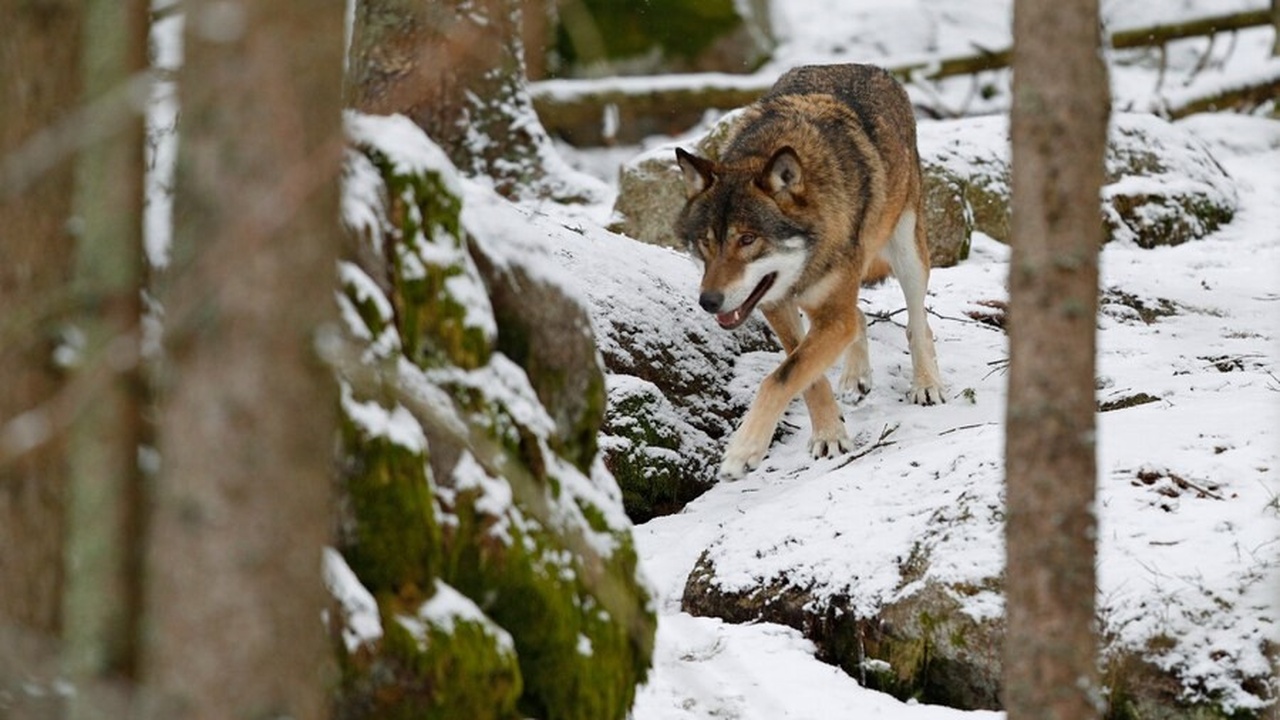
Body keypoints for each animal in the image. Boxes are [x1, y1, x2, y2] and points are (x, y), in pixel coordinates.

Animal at [675, 63, 947, 476]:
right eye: (706, 242)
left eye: (748, 239)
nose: (709, 301)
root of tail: (865, 66)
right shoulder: (777, 305)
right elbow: (804, 374)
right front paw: (829, 435)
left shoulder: (829, 315)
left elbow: (778, 379)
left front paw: (743, 449)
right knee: (859, 315)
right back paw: (855, 378)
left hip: (906, 250)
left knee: (917, 322)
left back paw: (926, 384)